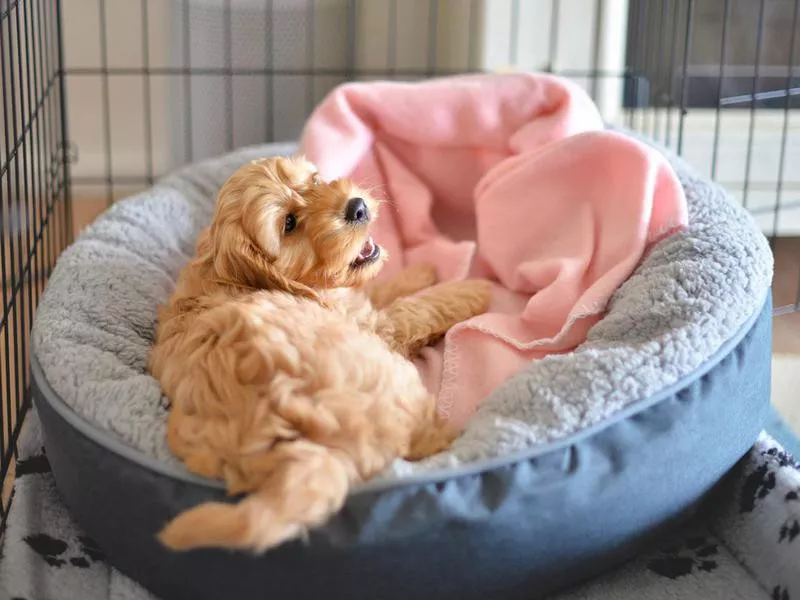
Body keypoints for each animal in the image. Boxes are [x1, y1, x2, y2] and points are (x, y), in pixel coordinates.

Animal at [148, 156, 490, 552]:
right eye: (289, 223)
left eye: (314, 181)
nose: (356, 207)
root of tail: (294, 440)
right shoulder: (376, 327)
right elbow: (419, 308)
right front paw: (473, 288)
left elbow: (377, 290)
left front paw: (419, 272)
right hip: (392, 380)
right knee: (424, 441)